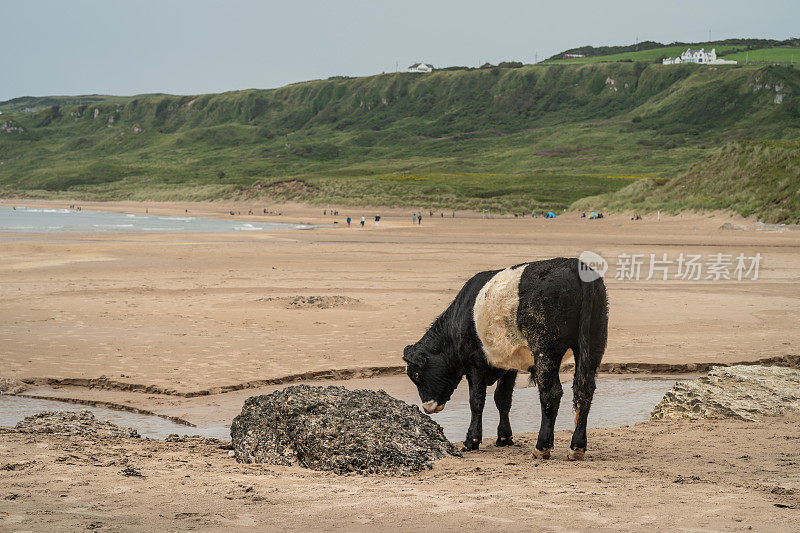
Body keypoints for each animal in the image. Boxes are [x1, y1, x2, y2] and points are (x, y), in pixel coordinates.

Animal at [404, 256, 608, 458]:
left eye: (415, 374)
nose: (427, 407)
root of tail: (575, 264)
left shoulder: (474, 363)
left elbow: (476, 400)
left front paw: (472, 441)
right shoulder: (509, 364)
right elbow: (503, 398)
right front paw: (504, 438)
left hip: (545, 350)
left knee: (551, 393)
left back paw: (542, 447)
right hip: (593, 343)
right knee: (584, 390)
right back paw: (577, 447)